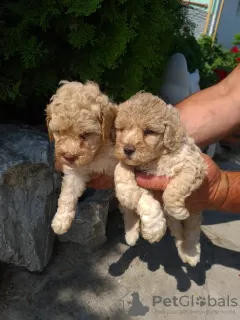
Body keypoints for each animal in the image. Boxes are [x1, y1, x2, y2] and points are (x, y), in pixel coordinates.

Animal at [46, 80, 117, 235]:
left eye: (85, 134)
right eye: (59, 132)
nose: (68, 156)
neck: (98, 152)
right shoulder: (76, 171)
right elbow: (68, 193)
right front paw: (61, 220)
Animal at [114, 93, 206, 268]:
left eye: (148, 131)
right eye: (122, 129)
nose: (127, 149)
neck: (155, 160)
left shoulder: (193, 166)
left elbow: (174, 189)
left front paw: (177, 209)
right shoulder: (143, 178)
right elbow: (145, 202)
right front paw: (153, 229)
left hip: (194, 215)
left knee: (191, 232)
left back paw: (190, 254)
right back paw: (132, 235)